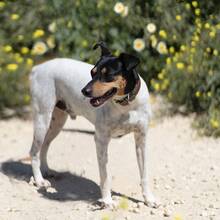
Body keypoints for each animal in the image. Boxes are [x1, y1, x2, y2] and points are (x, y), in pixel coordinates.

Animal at [29, 41, 158, 208]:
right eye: (92, 72)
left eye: (107, 75)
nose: (84, 91)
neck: (127, 106)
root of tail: (37, 68)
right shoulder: (101, 140)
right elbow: (105, 176)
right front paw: (107, 200)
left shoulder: (141, 140)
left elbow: (144, 174)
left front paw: (149, 199)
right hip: (42, 119)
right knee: (34, 151)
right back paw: (39, 180)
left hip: (56, 122)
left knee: (44, 145)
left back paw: (46, 171)